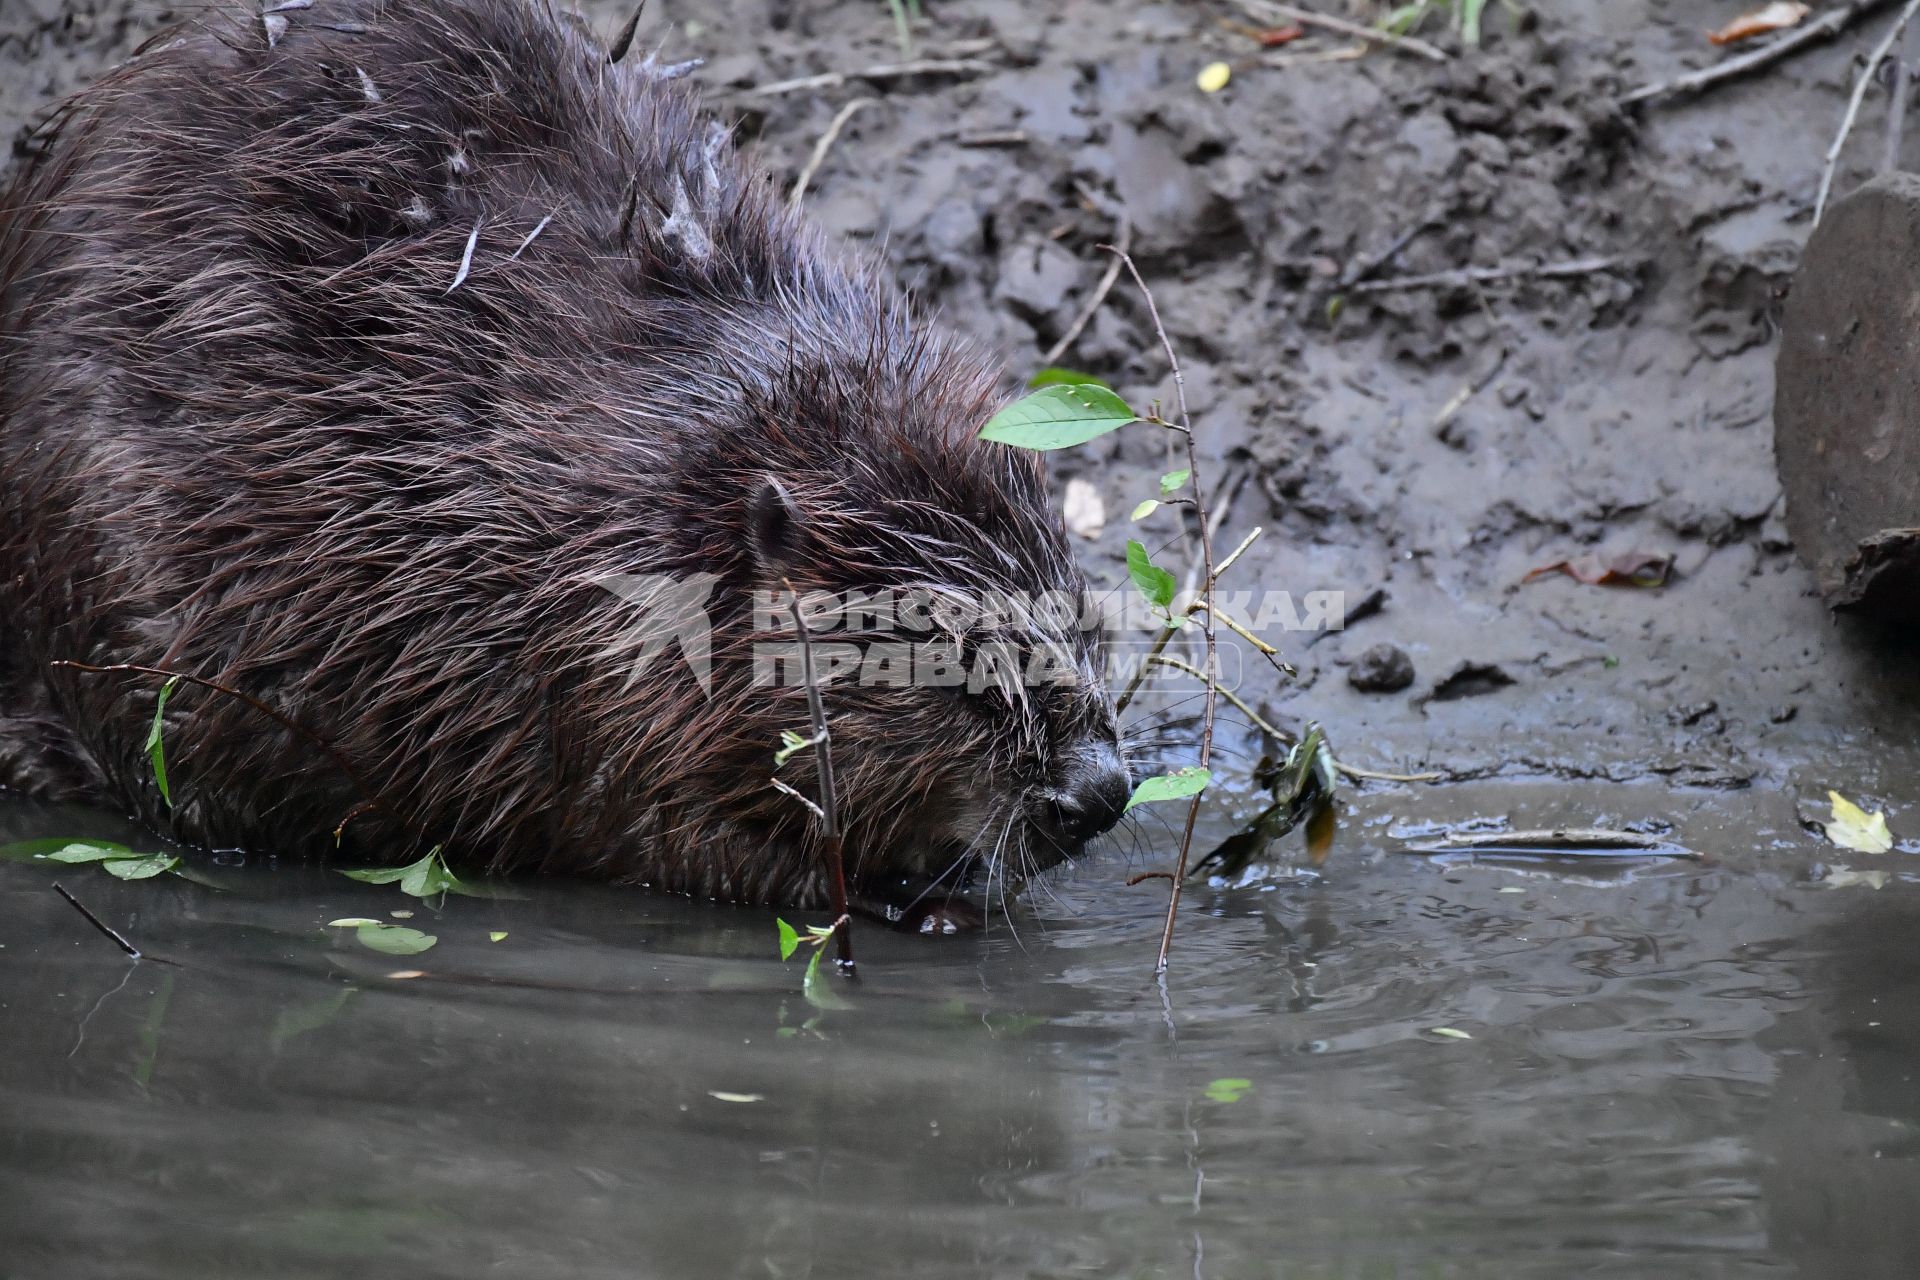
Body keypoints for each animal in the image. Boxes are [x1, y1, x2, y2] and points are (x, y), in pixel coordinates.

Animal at [0, 0, 1128, 921]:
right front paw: (913, 899)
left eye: (1080, 615)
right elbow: (660, 829)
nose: (1102, 792)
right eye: (952, 663)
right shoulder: (564, 659)